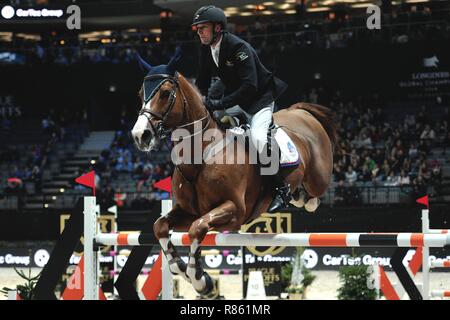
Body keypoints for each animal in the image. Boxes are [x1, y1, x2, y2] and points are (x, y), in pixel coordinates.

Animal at [131, 54, 338, 296]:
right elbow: (161, 226)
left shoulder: (234, 210)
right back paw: (295, 196)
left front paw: (199, 280)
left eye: (164, 93)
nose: (140, 135)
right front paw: (181, 268)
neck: (201, 155)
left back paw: (296, 197)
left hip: (318, 178)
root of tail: (301, 112)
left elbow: (197, 228)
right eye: (140, 94)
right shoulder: (188, 212)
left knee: (315, 194)